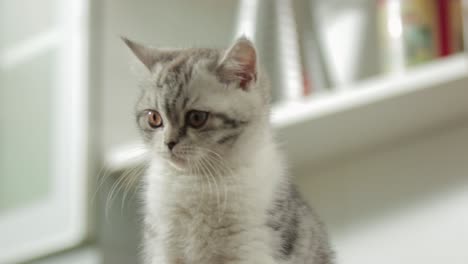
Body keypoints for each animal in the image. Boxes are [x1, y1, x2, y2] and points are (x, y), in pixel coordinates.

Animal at [122, 35, 330, 264]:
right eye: (154, 118)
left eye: (196, 118)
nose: (169, 142)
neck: (197, 181)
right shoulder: (161, 248)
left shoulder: (252, 248)